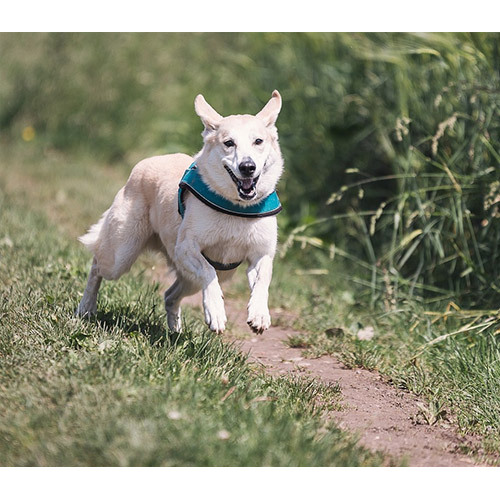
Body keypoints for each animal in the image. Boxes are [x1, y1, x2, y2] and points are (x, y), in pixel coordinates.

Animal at [76, 90, 284, 334]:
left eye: (258, 141)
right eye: (229, 143)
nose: (247, 167)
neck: (236, 208)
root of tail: (145, 163)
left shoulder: (261, 254)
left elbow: (263, 280)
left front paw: (259, 314)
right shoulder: (186, 248)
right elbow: (208, 271)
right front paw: (216, 312)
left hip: (192, 278)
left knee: (170, 295)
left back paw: (175, 331)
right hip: (121, 255)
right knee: (97, 266)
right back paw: (86, 308)